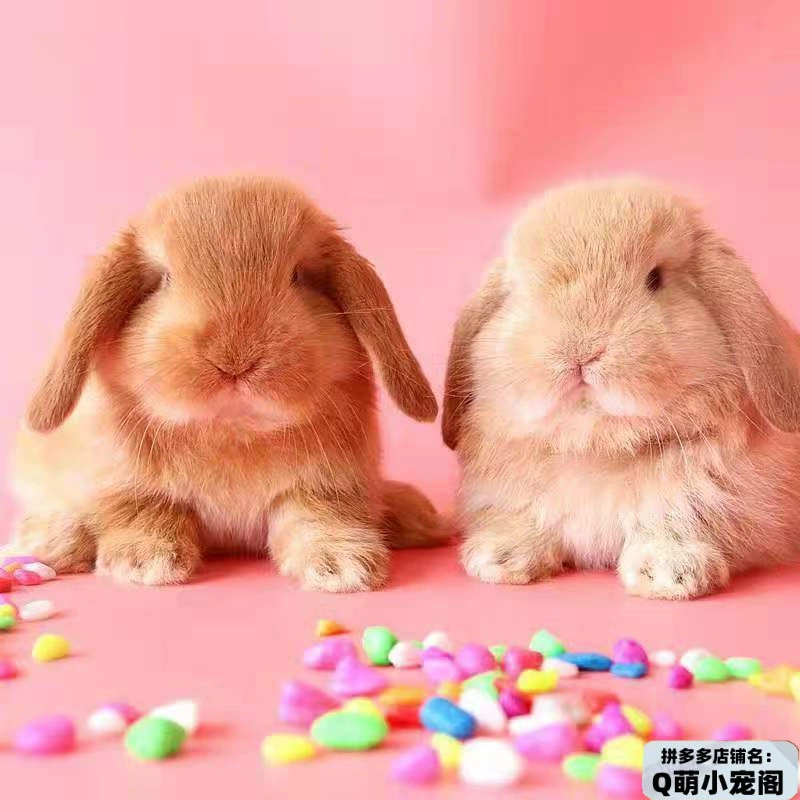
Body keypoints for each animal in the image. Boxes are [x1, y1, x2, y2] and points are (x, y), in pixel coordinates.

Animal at [8, 175, 449, 591]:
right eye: (163, 279)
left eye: (299, 276)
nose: (235, 357)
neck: (233, 430)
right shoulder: (125, 484)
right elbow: (143, 512)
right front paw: (146, 561)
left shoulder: (327, 486)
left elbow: (321, 518)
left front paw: (342, 566)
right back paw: (48, 539)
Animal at [443, 177, 800, 599]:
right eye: (520, 292)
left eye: (655, 279)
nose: (581, 351)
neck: (597, 445)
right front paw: (500, 558)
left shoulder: (711, 502)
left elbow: (673, 522)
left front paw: (669, 573)